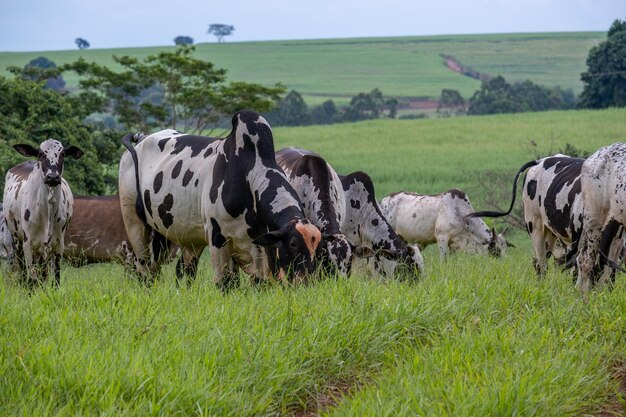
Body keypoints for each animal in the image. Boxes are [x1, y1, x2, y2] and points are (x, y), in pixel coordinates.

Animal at [2, 140, 83, 286]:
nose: (53, 177)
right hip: (17, 239)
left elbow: (56, 278)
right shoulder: (28, 243)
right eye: (41, 154)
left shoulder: (58, 244)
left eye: (62, 154)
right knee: (23, 270)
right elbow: (31, 279)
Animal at [118, 109, 322, 288]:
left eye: (317, 245)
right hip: (135, 223)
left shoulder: (260, 249)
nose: (306, 282)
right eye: (293, 244)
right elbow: (224, 283)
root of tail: (142, 138)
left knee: (178, 269)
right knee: (144, 267)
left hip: (171, 234)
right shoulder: (218, 237)